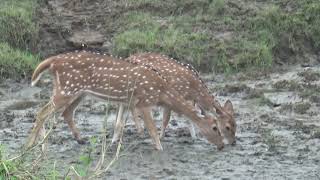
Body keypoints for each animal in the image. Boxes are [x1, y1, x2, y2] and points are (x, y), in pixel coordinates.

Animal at [26, 50, 224, 150]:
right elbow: (152, 129)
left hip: (75, 91)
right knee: (42, 112)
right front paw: (160, 149)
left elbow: (119, 125)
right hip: (67, 89)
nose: (222, 145)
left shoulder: (129, 101)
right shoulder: (144, 100)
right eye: (216, 127)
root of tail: (52, 61)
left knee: (63, 112)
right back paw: (30, 145)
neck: (162, 92)